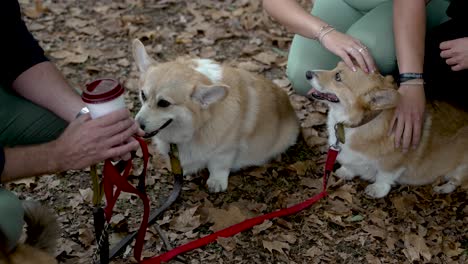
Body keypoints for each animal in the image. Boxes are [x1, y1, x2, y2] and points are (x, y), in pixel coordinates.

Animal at [133, 38, 300, 192]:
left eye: (164, 103)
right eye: (143, 95)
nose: (137, 125)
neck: (197, 126)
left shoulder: (226, 150)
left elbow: (218, 165)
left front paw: (216, 182)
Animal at [306, 62, 468, 198]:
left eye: (338, 77)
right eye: (336, 66)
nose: (307, 73)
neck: (359, 123)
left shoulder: (395, 162)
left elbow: (384, 175)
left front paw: (376, 189)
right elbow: (351, 165)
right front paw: (345, 171)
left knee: (457, 181)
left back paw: (443, 188)